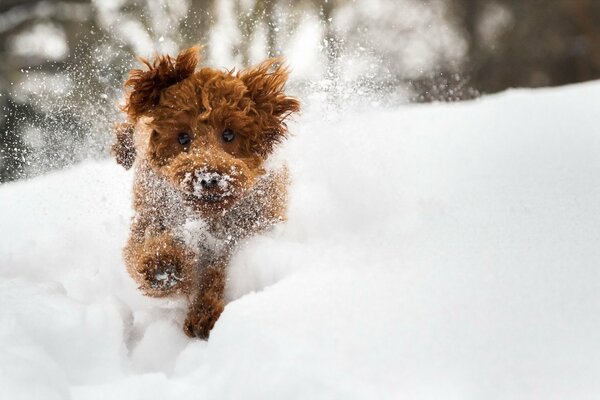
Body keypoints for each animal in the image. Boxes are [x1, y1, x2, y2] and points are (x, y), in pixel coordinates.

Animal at [112, 48, 300, 340]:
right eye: (182, 137)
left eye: (229, 134)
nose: (208, 177)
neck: (207, 217)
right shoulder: (153, 213)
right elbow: (141, 250)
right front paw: (164, 268)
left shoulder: (236, 235)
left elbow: (215, 273)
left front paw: (204, 315)